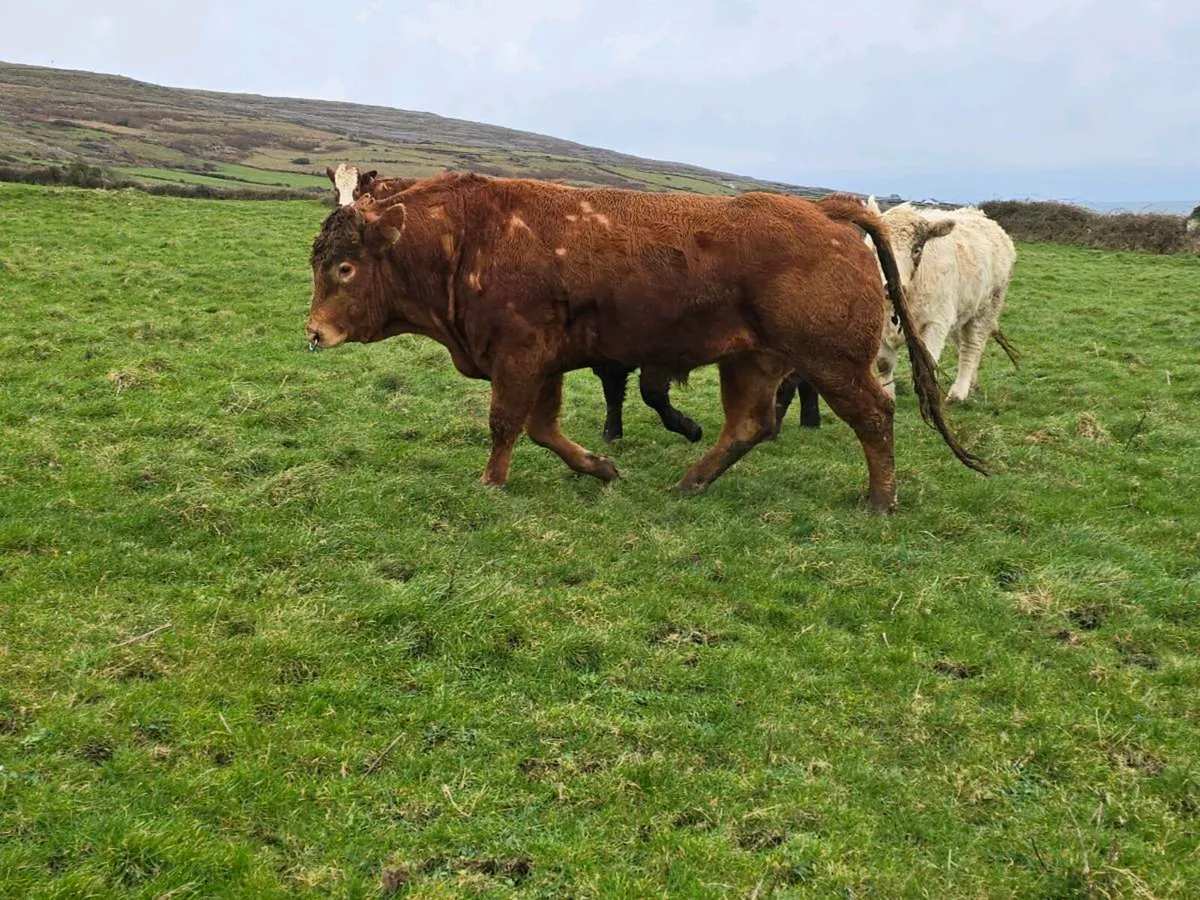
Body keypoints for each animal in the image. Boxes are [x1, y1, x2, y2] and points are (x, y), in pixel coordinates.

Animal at [328, 164, 703, 445]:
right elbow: (618, 387)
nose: (345, 210)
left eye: (361, 191)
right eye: (336, 190)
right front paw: (614, 432)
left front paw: (686, 428)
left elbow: (645, 391)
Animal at [866, 197, 1018, 404]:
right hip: (961, 313)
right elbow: (884, 363)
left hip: (986, 309)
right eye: (877, 247)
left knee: (971, 347)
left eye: (916, 250)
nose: (889, 288)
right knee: (962, 344)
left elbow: (928, 363)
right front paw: (887, 396)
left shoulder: (936, 322)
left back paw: (958, 393)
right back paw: (971, 383)